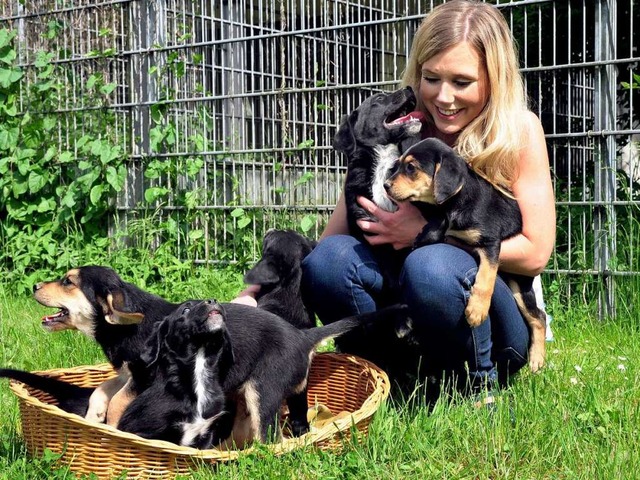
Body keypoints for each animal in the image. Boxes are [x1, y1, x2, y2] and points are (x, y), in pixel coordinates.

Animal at [382, 137, 548, 374]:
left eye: (411, 167)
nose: (386, 186)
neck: (454, 204)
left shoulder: (490, 243)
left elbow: (486, 277)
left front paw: (477, 310)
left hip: (519, 288)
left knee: (539, 317)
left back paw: (536, 360)